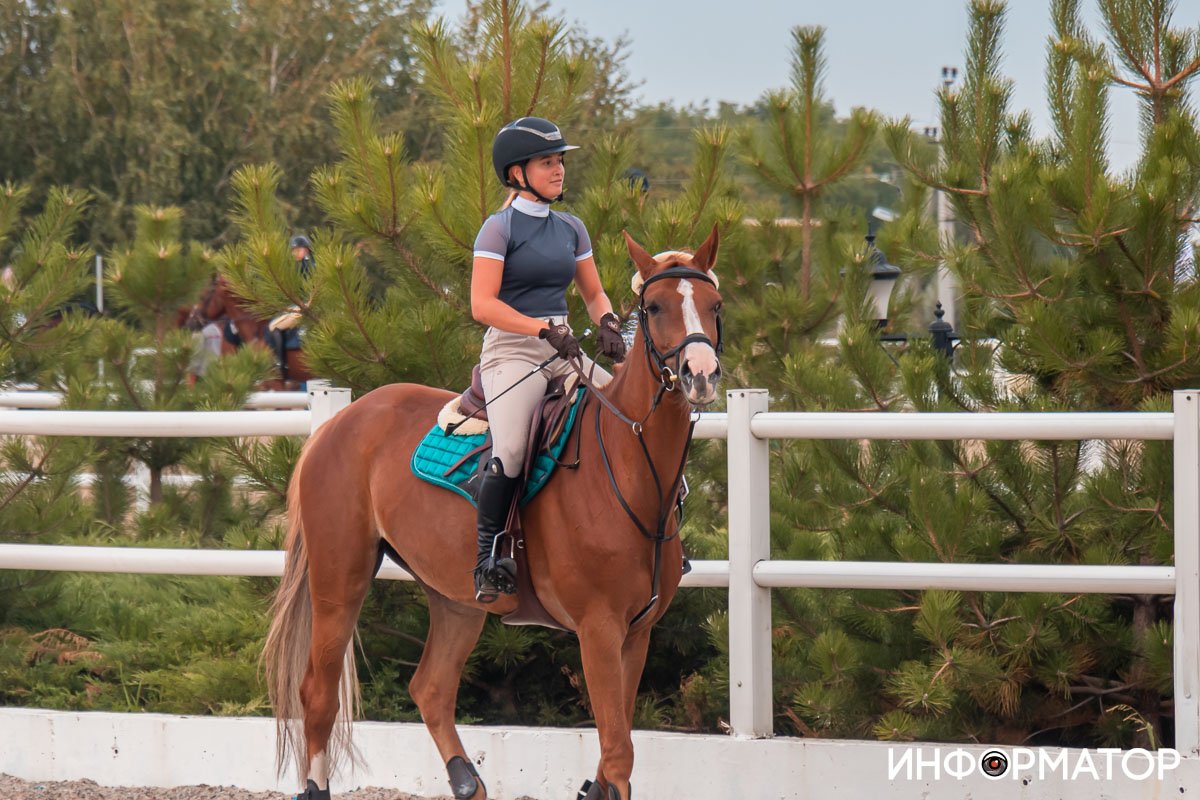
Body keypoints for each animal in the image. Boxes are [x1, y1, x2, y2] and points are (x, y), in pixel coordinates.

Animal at [263, 226, 725, 800]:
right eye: (656, 306)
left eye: (714, 305)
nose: (700, 374)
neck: (628, 467)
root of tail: (338, 422)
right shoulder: (598, 629)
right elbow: (618, 754)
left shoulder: (635, 634)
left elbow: (611, 759)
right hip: (339, 581)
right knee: (319, 693)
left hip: (455, 599)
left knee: (431, 688)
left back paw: (468, 781)